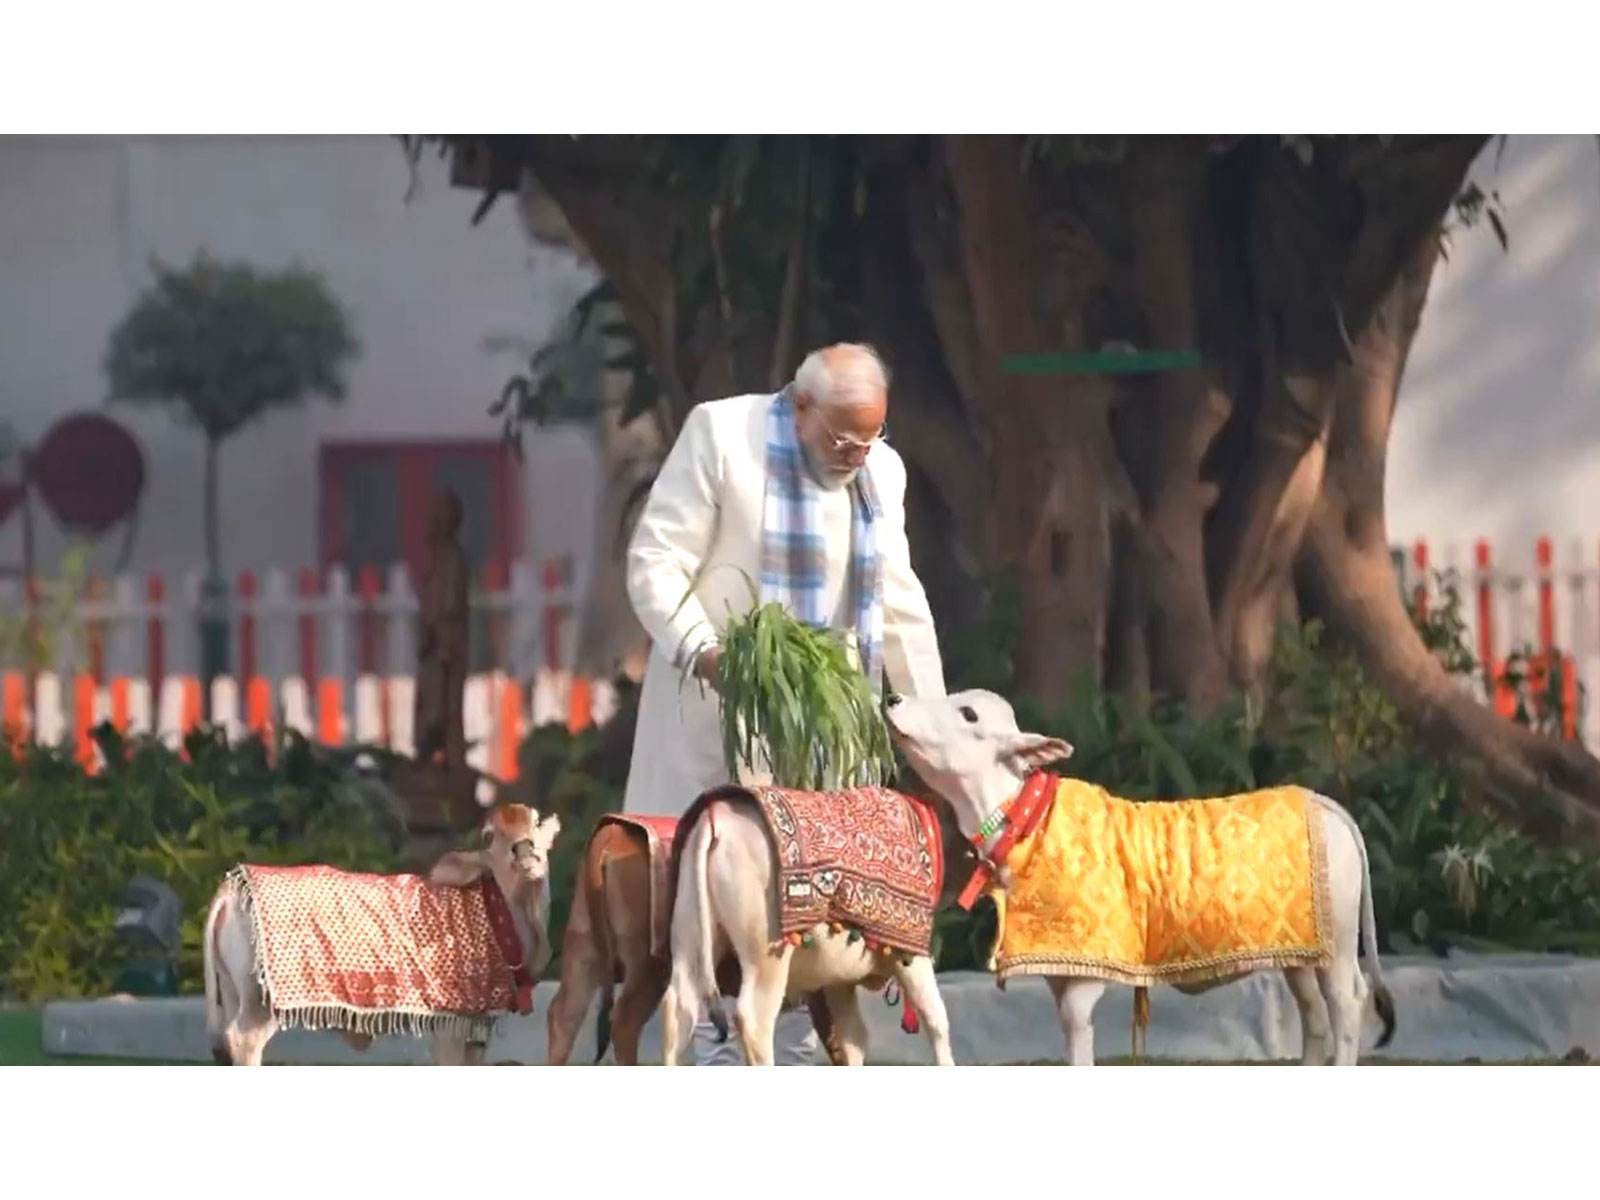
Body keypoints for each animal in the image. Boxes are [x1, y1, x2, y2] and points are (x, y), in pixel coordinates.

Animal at [203, 803, 561, 1066]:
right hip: (260, 1002)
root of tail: (231, 887)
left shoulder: (476, 1032)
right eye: (488, 836)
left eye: (535, 821)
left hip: (234, 990)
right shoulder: (448, 1024)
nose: (524, 851)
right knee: (243, 1042)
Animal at [882, 688, 1396, 1066]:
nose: (894, 700)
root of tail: (1322, 802)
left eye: (967, 713)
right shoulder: (1059, 969)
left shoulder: (1091, 967)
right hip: (1301, 950)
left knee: (1348, 1003)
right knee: (1314, 1014)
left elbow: (1077, 1032)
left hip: (1339, 944)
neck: (1028, 820)